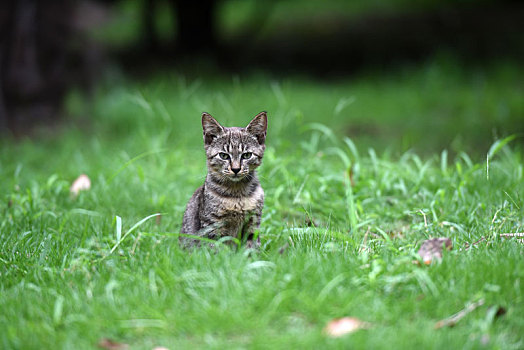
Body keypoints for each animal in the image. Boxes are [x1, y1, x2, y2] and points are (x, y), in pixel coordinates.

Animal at [181, 111, 270, 246]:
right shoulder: (212, 226)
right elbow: (216, 247)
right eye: (223, 155)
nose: (236, 169)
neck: (237, 193)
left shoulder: (253, 222)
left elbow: (251, 247)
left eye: (247, 155)